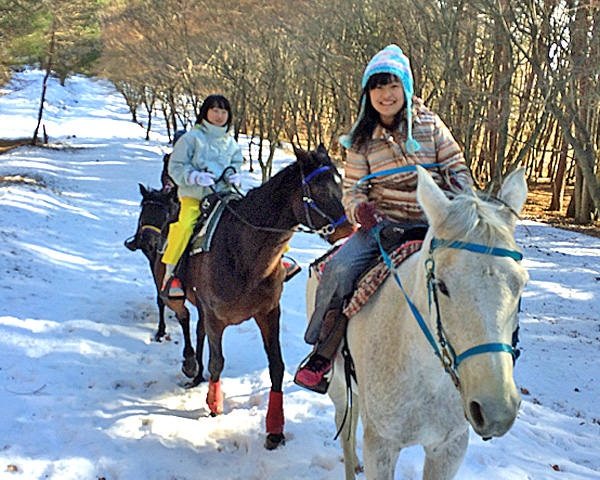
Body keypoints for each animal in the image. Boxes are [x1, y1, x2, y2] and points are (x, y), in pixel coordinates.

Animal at [156, 145, 352, 450]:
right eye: (318, 189)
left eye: (340, 183)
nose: (349, 229)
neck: (243, 252)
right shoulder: (215, 316)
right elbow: (217, 361)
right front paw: (214, 404)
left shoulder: (268, 313)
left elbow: (276, 367)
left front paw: (275, 429)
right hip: (174, 295)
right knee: (184, 318)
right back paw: (190, 364)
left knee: (196, 329)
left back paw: (196, 372)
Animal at [308, 167, 528, 478]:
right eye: (441, 285)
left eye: (521, 284)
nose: (496, 410)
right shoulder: (381, 446)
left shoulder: (449, 448)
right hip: (338, 386)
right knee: (346, 426)